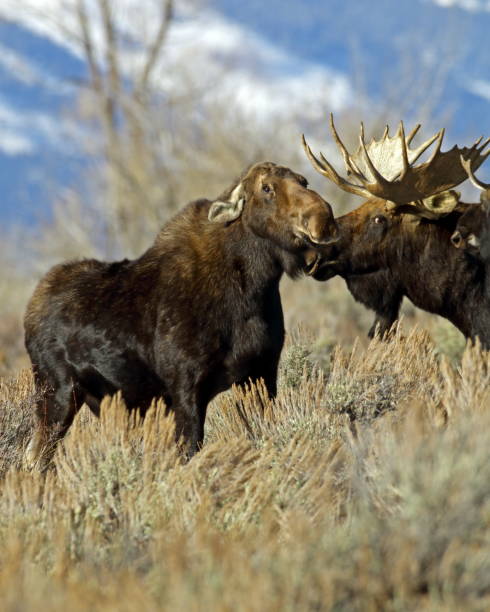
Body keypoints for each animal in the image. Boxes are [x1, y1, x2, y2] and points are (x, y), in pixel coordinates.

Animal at [24, 160, 338, 466]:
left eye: (304, 181)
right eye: (267, 188)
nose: (323, 219)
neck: (254, 290)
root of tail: (31, 310)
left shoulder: (261, 372)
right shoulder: (186, 385)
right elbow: (188, 450)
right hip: (57, 392)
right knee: (38, 457)